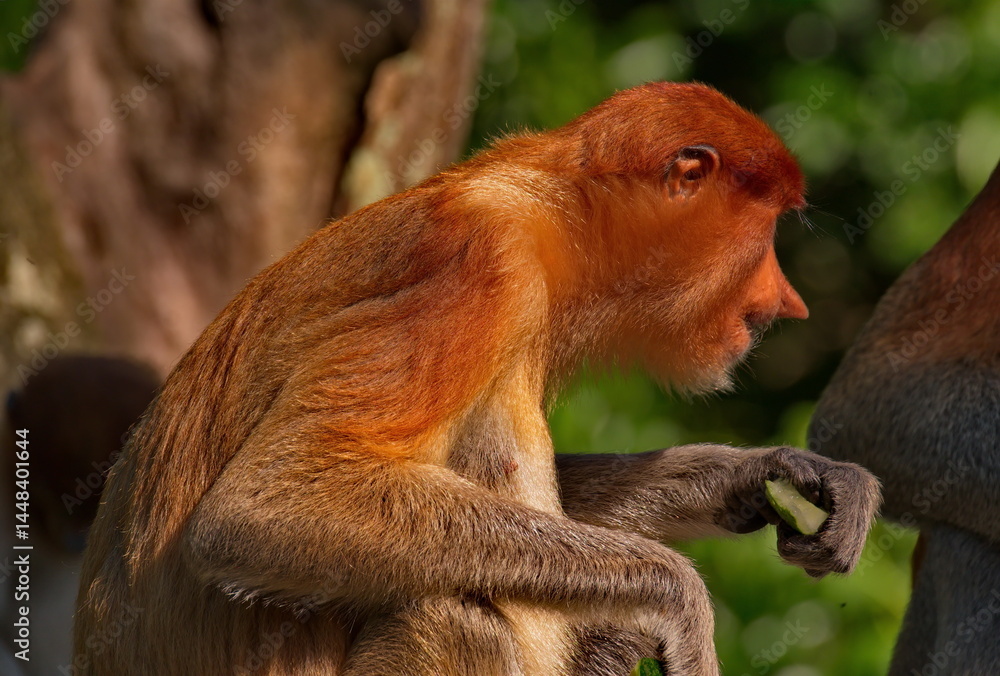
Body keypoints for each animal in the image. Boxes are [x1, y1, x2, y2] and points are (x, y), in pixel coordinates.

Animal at [74, 82, 881, 676]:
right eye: (765, 230)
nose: (787, 301)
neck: (550, 209)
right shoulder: (479, 268)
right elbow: (264, 504)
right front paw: (682, 602)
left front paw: (774, 475)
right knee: (458, 616)